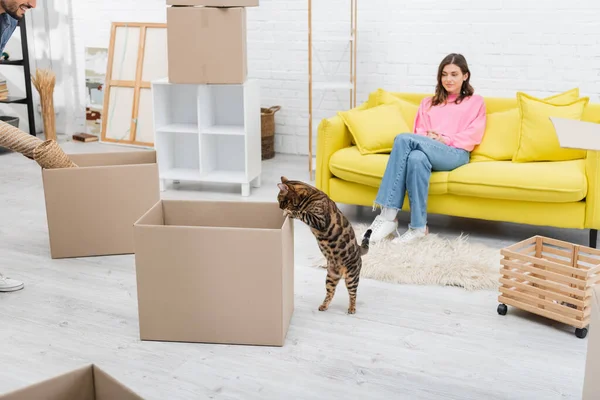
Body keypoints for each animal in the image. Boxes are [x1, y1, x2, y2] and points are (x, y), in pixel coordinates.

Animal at [276, 177, 370, 314]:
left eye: (280, 200)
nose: (279, 207)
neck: (309, 196)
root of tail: (358, 248)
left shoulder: (319, 220)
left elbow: (302, 213)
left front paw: (290, 212)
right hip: (331, 277)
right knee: (331, 293)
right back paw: (324, 306)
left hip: (351, 278)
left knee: (353, 294)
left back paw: (352, 308)